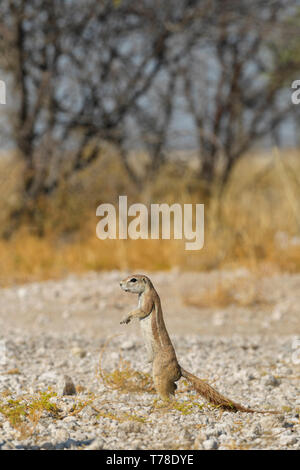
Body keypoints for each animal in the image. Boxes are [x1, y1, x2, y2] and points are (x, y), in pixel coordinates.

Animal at [120, 274, 278, 414]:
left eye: (133, 280)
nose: (120, 284)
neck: (145, 291)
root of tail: (178, 368)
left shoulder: (148, 299)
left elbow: (142, 311)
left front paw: (126, 317)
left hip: (159, 373)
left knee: (169, 396)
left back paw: (161, 406)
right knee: (174, 387)